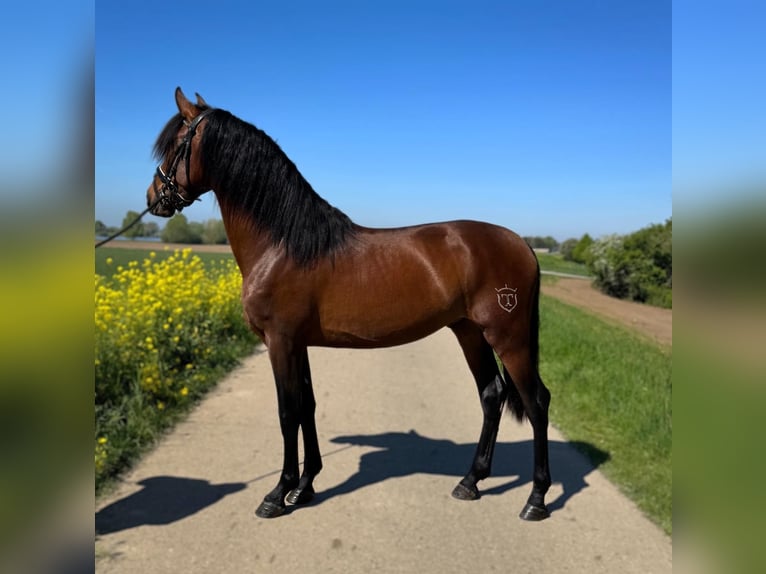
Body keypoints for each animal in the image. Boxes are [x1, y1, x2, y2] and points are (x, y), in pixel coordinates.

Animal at [146, 87, 552, 520]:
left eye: (174, 145)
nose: (154, 197)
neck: (283, 244)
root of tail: (523, 245)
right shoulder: (298, 344)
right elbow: (306, 406)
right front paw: (305, 487)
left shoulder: (280, 341)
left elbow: (287, 412)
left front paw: (277, 494)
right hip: (469, 332)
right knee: (492, 395)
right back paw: (470, 482)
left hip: (508, 338)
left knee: (536, 402)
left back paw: (536, 499)